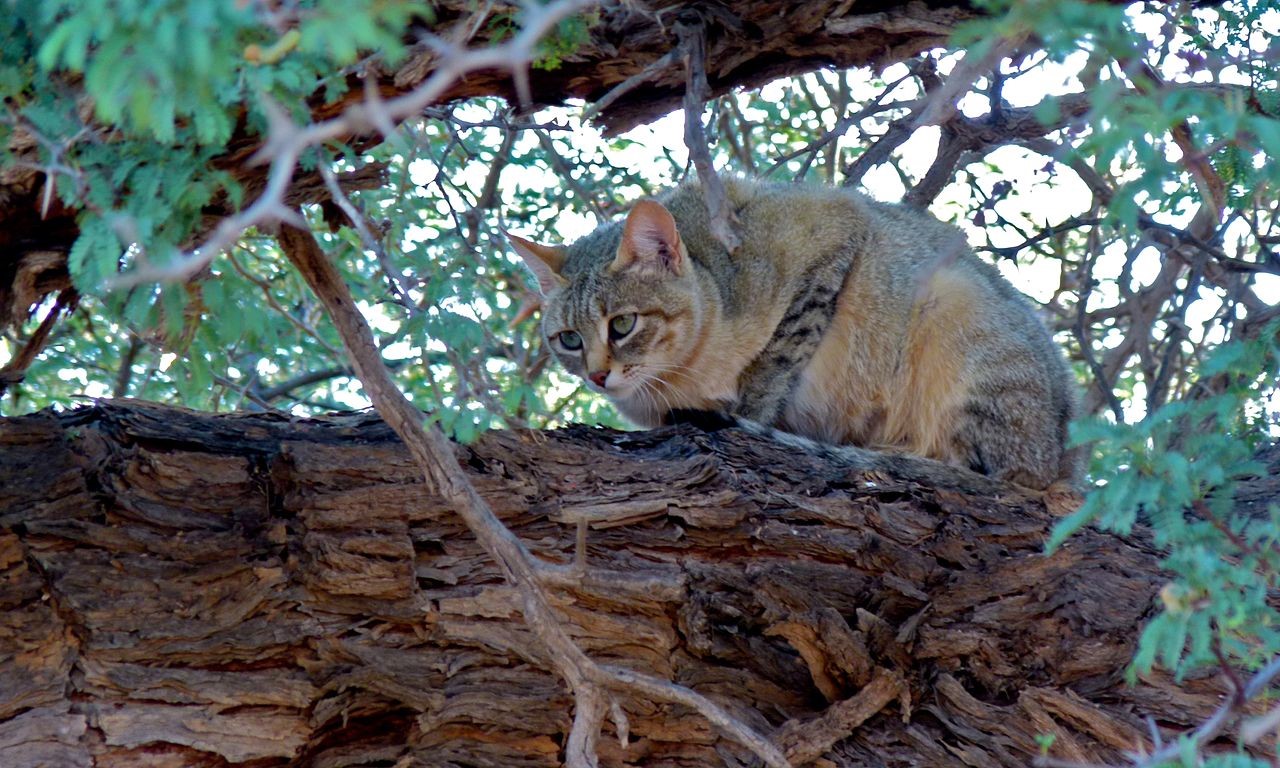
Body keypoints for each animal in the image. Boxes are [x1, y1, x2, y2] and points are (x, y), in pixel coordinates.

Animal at [509, 176, 1080, 488]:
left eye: (623, 324)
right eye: (569, 340)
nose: (597, 377)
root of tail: (1064, 457)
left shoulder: (834, 231)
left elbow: (777, 358)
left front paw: (747, 413)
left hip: (955, 302)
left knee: (990, 474)